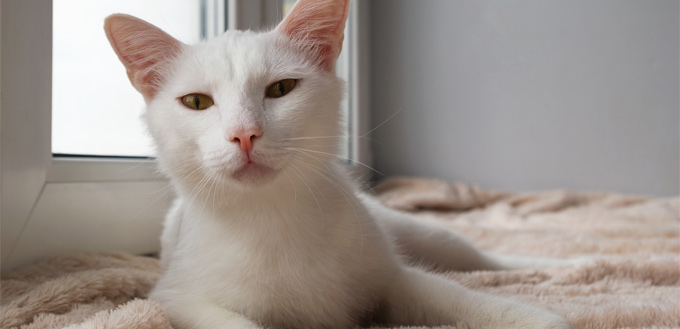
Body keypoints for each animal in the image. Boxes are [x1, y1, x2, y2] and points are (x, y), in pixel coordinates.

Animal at [105, 1, 572, 326]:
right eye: (197, 102)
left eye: (281, 89)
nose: (244, 134)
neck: (273, 217)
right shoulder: (175, 299)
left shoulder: (391, 279)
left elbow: (456, 296)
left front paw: (538, 319)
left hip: (412, 231)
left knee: (476, 255)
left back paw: (561, 266)